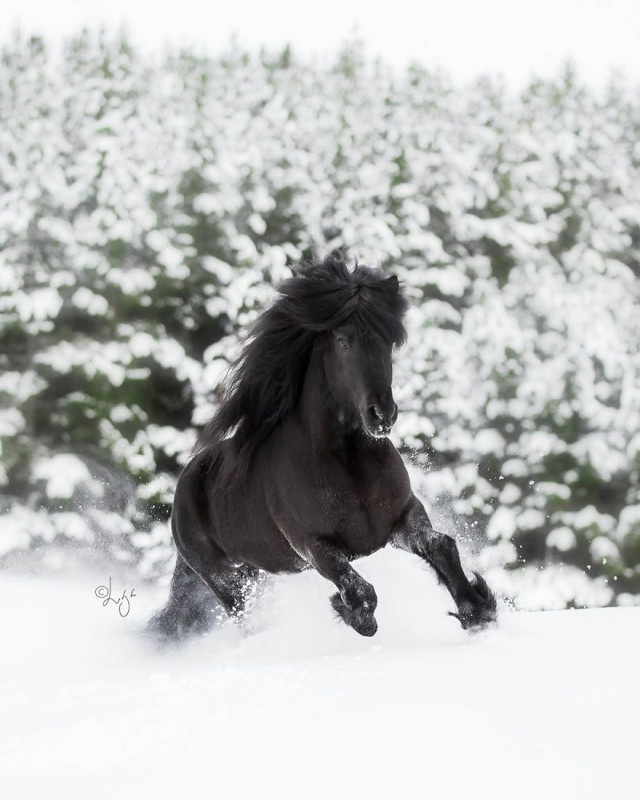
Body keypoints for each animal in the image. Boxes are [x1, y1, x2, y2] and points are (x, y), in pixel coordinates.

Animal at [149, 258, 496, 644]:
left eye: (389, 342)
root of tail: (184, 486)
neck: (348, 462)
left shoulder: (403, 517)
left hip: (256, 569)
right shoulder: (314, 545)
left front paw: (478, 611)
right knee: (244, 614)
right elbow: (361, 591)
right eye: (343, 342)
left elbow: (442, 546)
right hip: (222, 576)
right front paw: (353, 615)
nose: (382, 415)